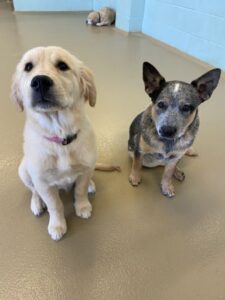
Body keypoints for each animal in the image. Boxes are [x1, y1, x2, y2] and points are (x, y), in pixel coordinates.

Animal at [11, 46, 101, 239]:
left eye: (62, 65)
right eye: (28, 67)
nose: (40, 81)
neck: (61, 138)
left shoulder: (84, 169)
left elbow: (80, 190)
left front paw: (82, 206)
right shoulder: (43, 183)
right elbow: (55, 205)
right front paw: (57, 225)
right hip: (24, 171)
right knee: (33, 190)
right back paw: (37, 204)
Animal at [127, 61, 221, 197]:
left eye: (186, 107)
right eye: (161, 104)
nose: (167, 130)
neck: (168, 143)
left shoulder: (175, 157)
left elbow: (168, 173)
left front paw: (166, 186)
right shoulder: (139, 150)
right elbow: (136, 164)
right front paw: (135, 177)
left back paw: (178, 171)